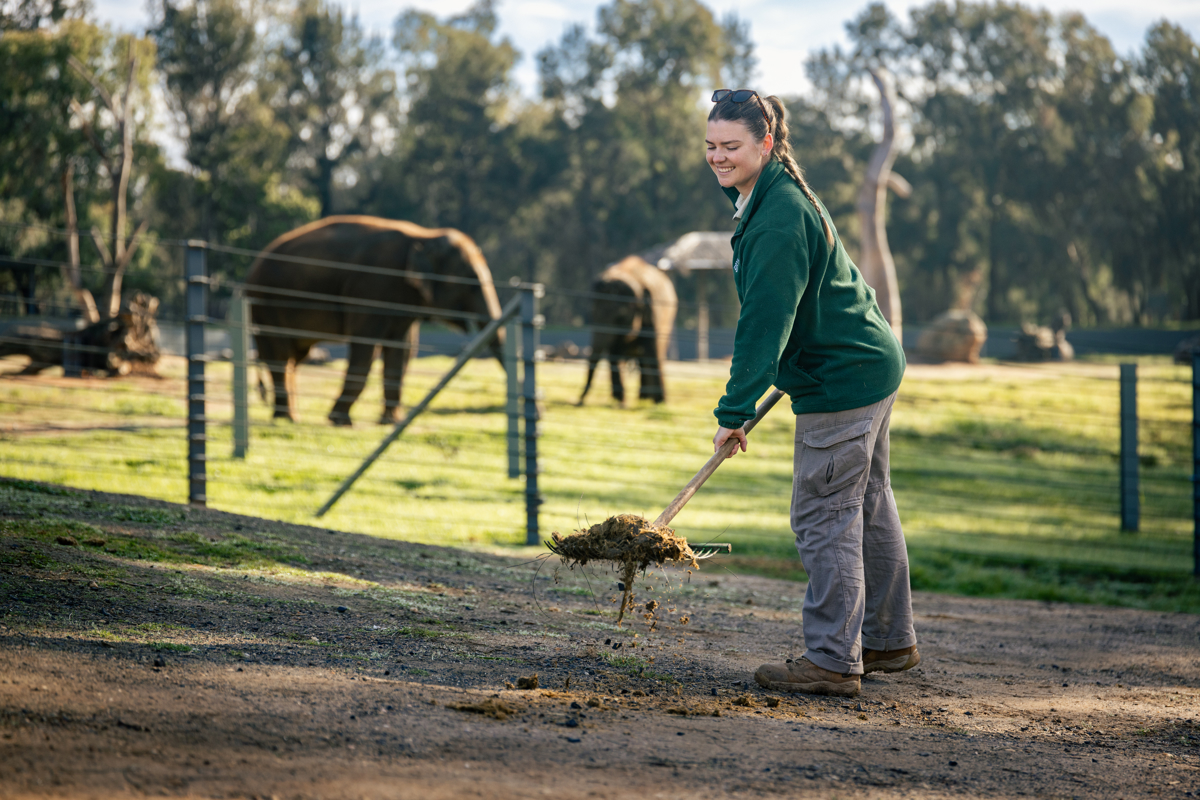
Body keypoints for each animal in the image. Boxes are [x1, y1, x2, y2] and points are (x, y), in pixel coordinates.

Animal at [245, 215, 503, 426]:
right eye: (470, 281)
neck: (424, 236)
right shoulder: (371, 288)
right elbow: (365, 347)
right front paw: (340, 421)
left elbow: (401, 350)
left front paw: (390, 422)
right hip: (265, 305)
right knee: (279, 354)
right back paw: (287, 418)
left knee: (295, 356)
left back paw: (290, 416)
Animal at [579, 256, 677, 404]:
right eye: (592, 316)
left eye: (620, 318)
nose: (579, 401)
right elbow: (615, 351)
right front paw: (620, 401)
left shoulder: (655, 311)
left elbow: (652, 348)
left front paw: (660, 403)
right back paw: (641, 399)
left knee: (652, 352)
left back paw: (648, 400)